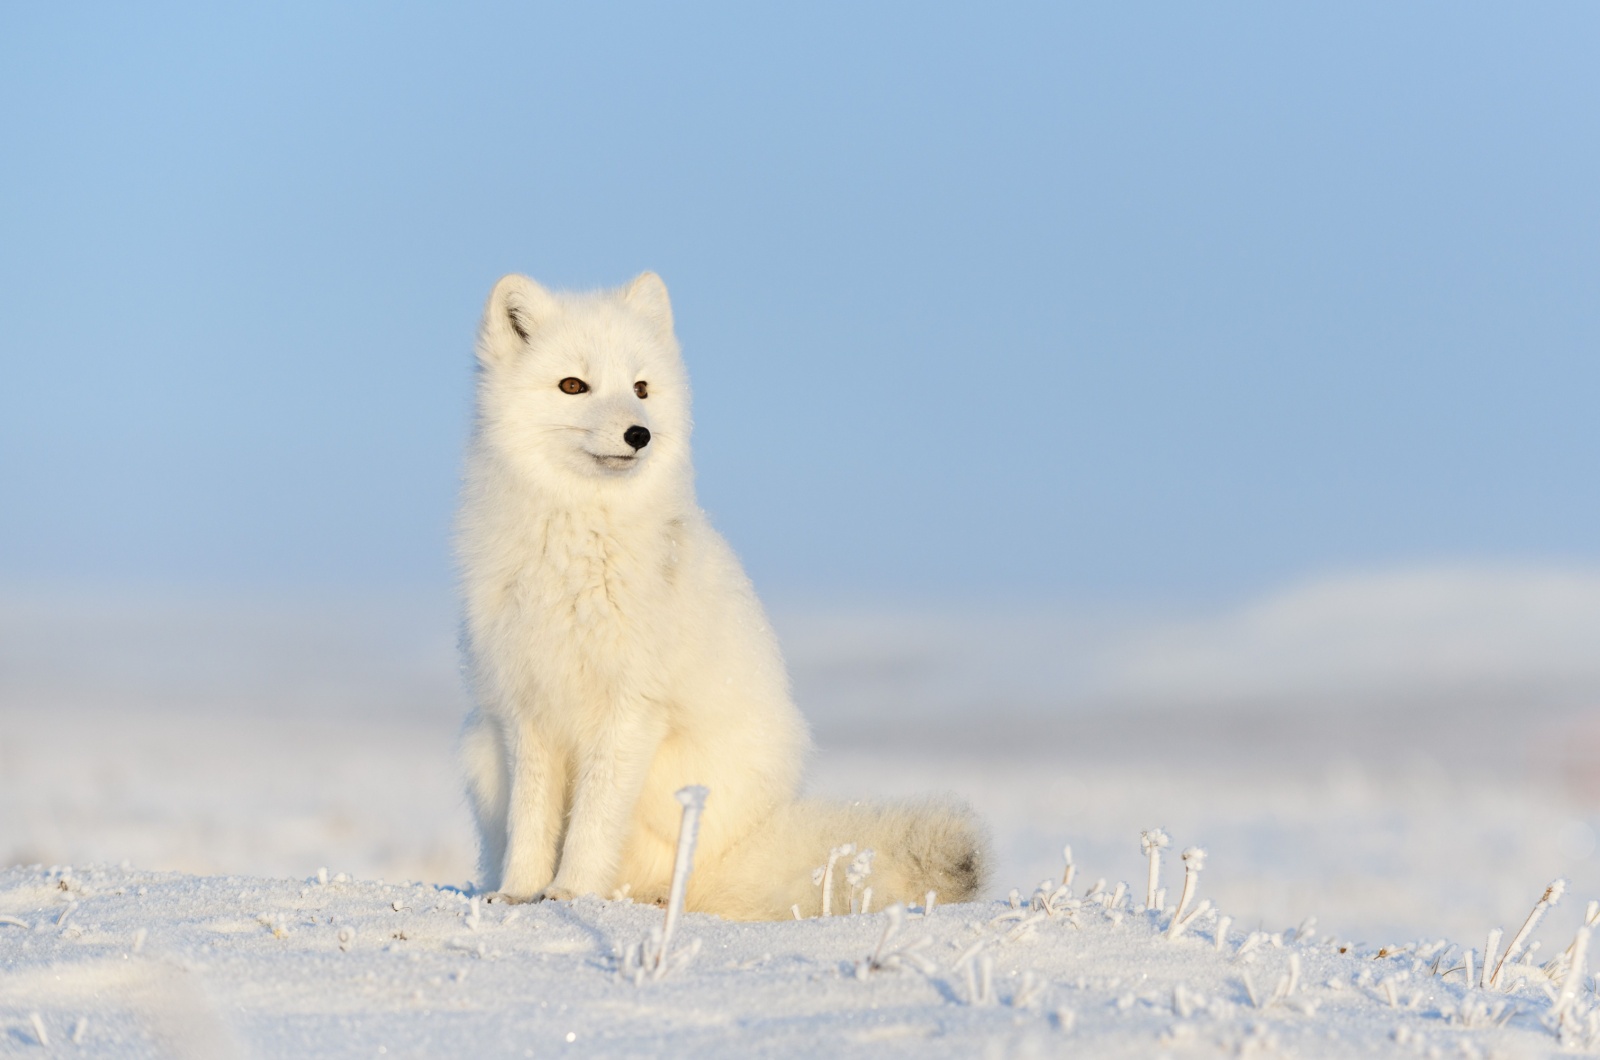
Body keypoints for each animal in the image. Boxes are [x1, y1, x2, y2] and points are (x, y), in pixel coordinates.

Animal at [454, 273, 985, 922]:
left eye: (641, 388)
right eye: (573, 385)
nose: (639, 433)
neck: (579, 545)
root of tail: (746, 849)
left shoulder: (631, 707)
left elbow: (594, 819)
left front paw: (573, 891)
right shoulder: (527, 706)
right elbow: (532, 821)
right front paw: (519, 892)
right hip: (479, 747)